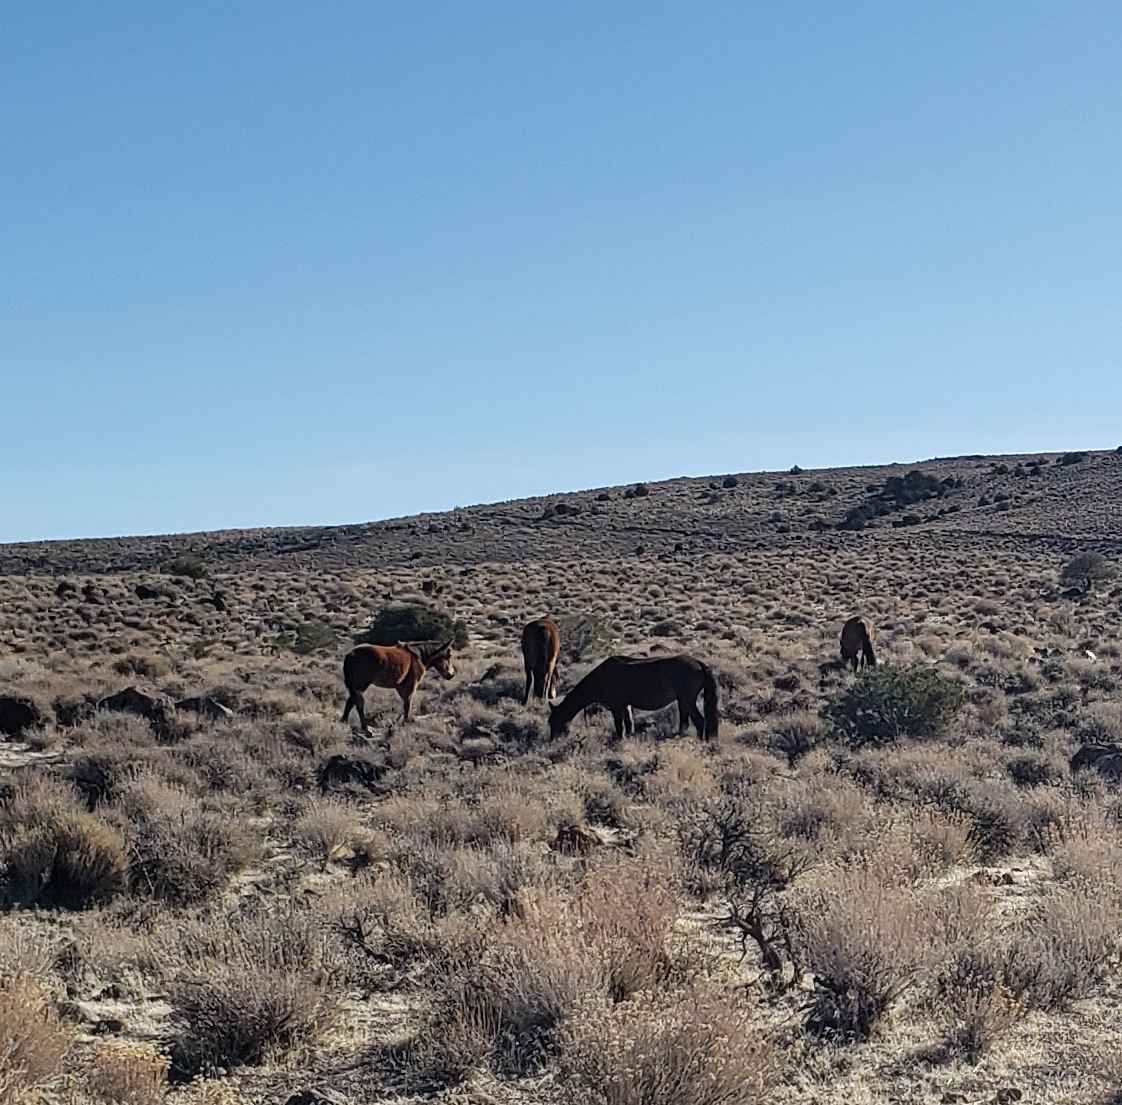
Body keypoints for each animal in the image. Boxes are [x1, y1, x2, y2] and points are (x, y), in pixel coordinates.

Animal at [549, 655, 718, 740]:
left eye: (554, 722)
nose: (552, 741)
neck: (601, 678)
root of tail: (699, 663)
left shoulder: (616, 706)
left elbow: (620, 726)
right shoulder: (626, 705)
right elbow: (629, 724)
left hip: (687, 700)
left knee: (699, 721)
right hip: (684, 701)